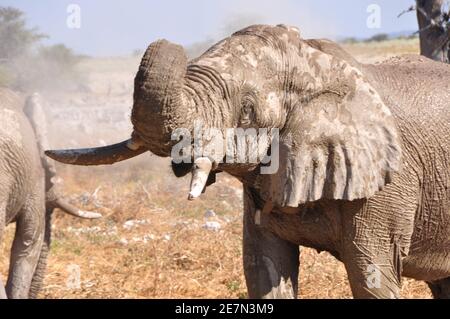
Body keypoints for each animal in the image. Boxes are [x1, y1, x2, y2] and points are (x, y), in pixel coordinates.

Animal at [46, 25, 450, 300]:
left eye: (247, 112)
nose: (170, 40)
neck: (317, 66)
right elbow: (264, 267)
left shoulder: (386, 185)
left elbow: (372, 275)